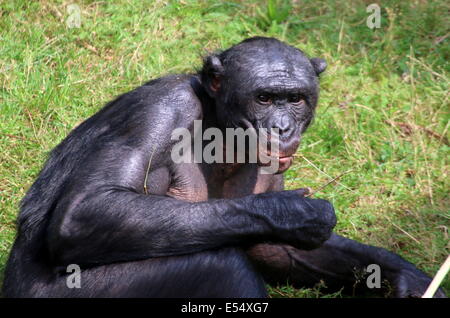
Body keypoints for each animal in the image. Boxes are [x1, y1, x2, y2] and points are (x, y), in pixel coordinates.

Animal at [2, 37, 446, 298]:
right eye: (265, 98)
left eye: (295, 99)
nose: (282, 127)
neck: (220, 125)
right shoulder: (160, 110)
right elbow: (85, 211)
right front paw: (295, 212)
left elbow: (277, 247)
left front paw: (405, 276)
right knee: (221, 265)